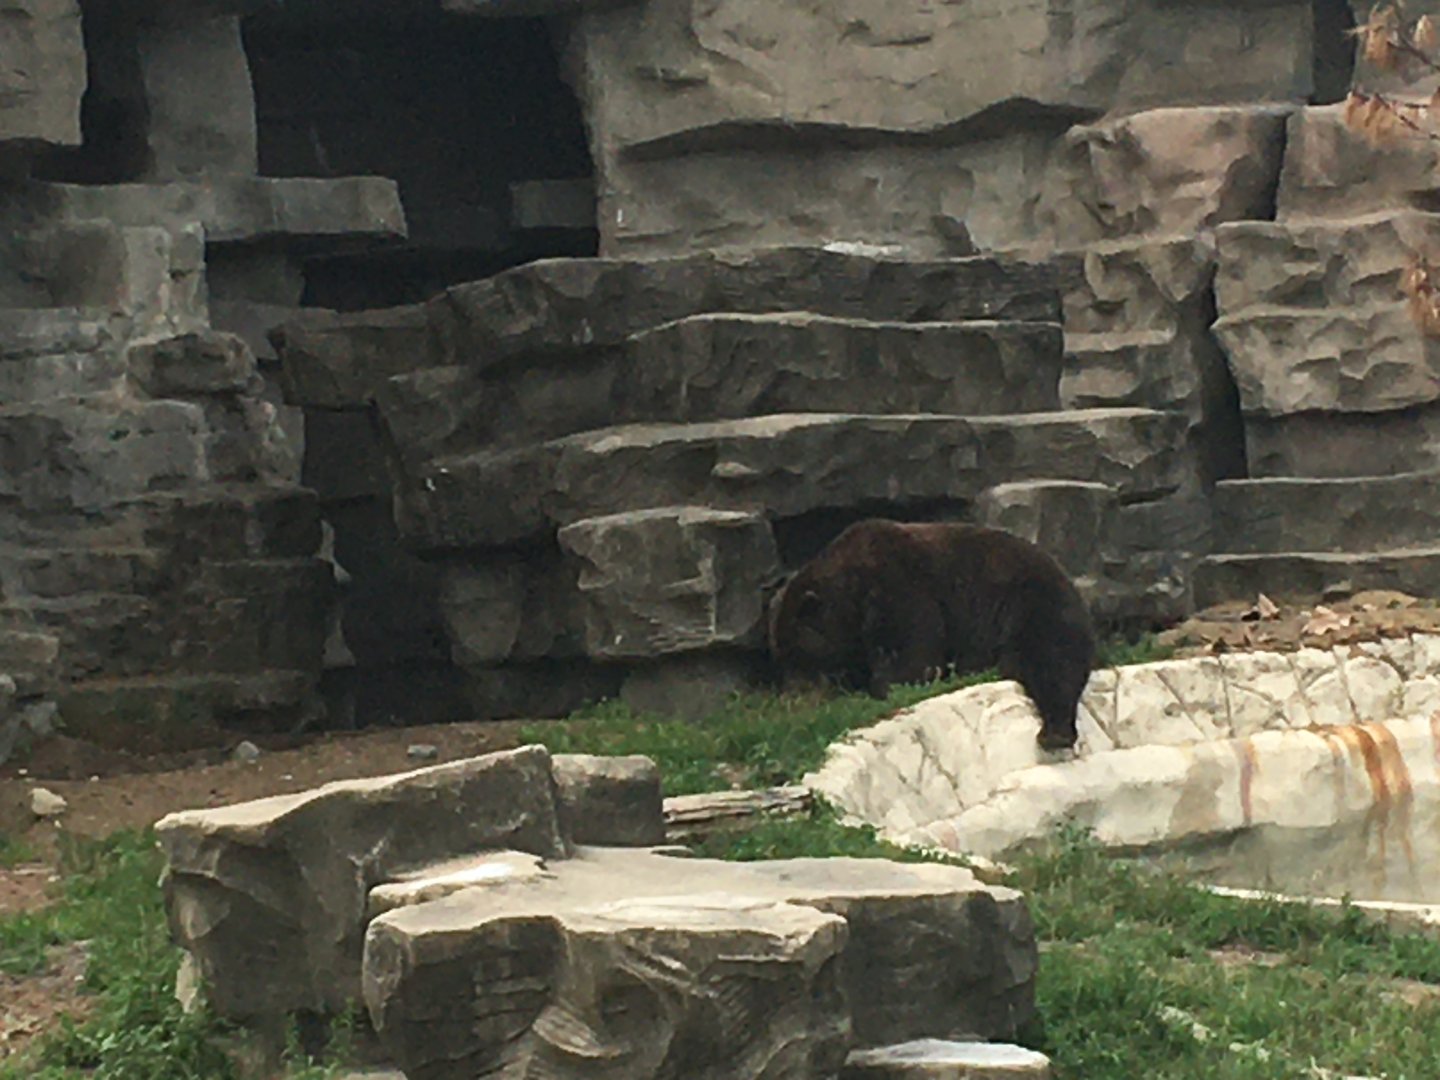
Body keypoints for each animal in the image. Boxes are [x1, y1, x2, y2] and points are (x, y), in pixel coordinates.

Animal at [767, 519, 1096, 750]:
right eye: (781, 655)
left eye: (798, 654)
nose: (790, 699)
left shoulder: (900, 588)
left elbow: (911, 656)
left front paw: (879, 689)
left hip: (1029, 604)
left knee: (1050, 659)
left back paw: (1054, 732)